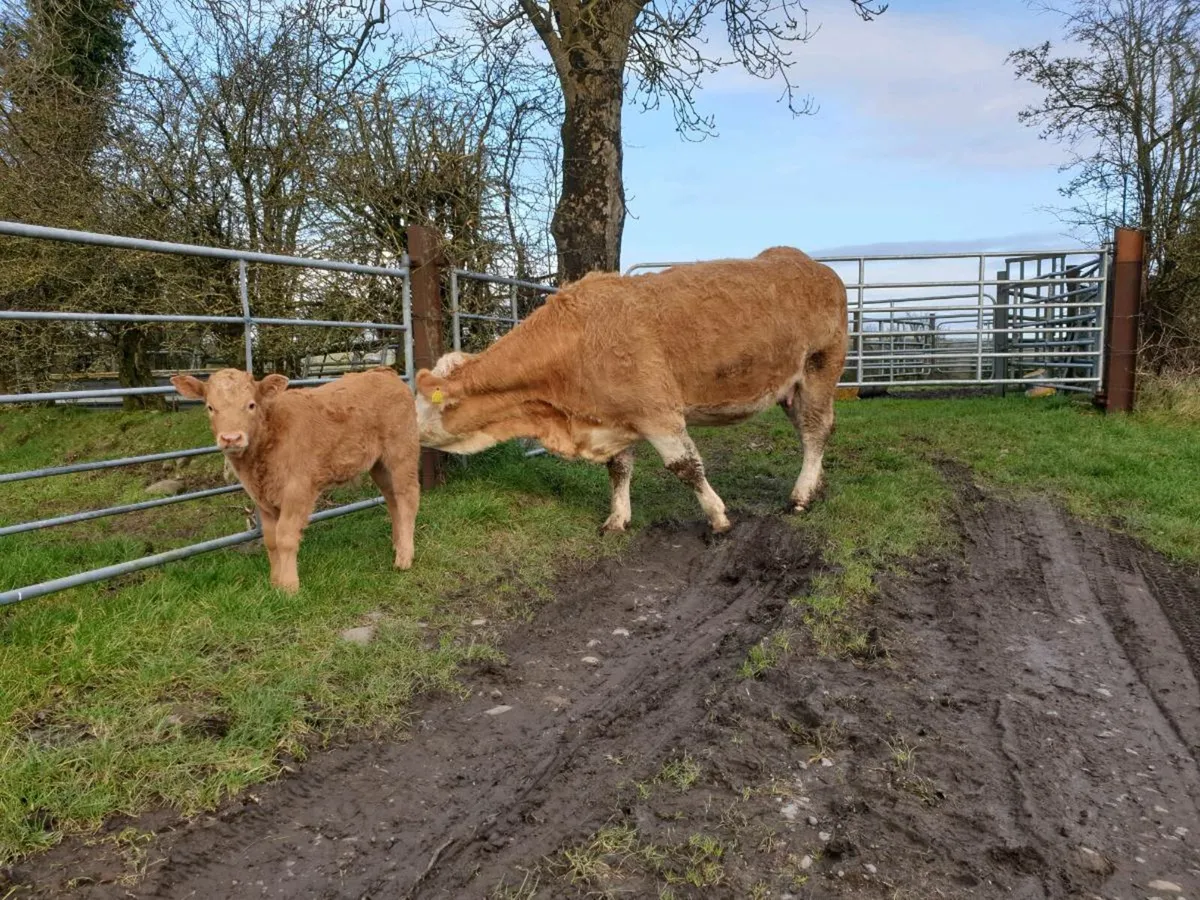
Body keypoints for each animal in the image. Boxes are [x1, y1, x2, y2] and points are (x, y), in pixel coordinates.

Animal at [170, 366, 420, 593]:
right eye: (210, 407)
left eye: (251, 405)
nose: (231, 438)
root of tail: (384, 372)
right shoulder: (262, 499)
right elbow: (271, 540)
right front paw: (275, 583)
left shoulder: (297, 490)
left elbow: (286, 538)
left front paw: (290, 587)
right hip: (379, 465)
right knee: (392, 499)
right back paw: (397, 544)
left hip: (401, 453)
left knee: (407, 497)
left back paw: (404, 557)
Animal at [414, 247, 848, 533]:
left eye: (423, 406)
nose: (407, 433)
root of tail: (809, 264)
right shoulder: (615, 416)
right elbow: (619, 469)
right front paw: (617, 518)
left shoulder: (658, 413)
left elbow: (686, 467)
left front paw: (718, 517)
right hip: (791, 388)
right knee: (811, 432)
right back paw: (817, 484)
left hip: (819, 369)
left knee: (816, 429)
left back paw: (800, 496)